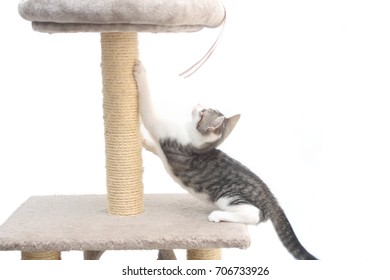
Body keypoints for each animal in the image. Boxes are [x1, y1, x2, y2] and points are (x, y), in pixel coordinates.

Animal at [134, 61, 316, 260]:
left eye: (203, 111)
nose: (199, 102)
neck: (193, 137)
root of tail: (272, 200)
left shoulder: (162, 129)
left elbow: (149, 109)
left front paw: (140, 70)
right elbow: (156, 149)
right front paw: (143, 141)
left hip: (228, 197)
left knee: (253, 215)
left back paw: (217, 216)